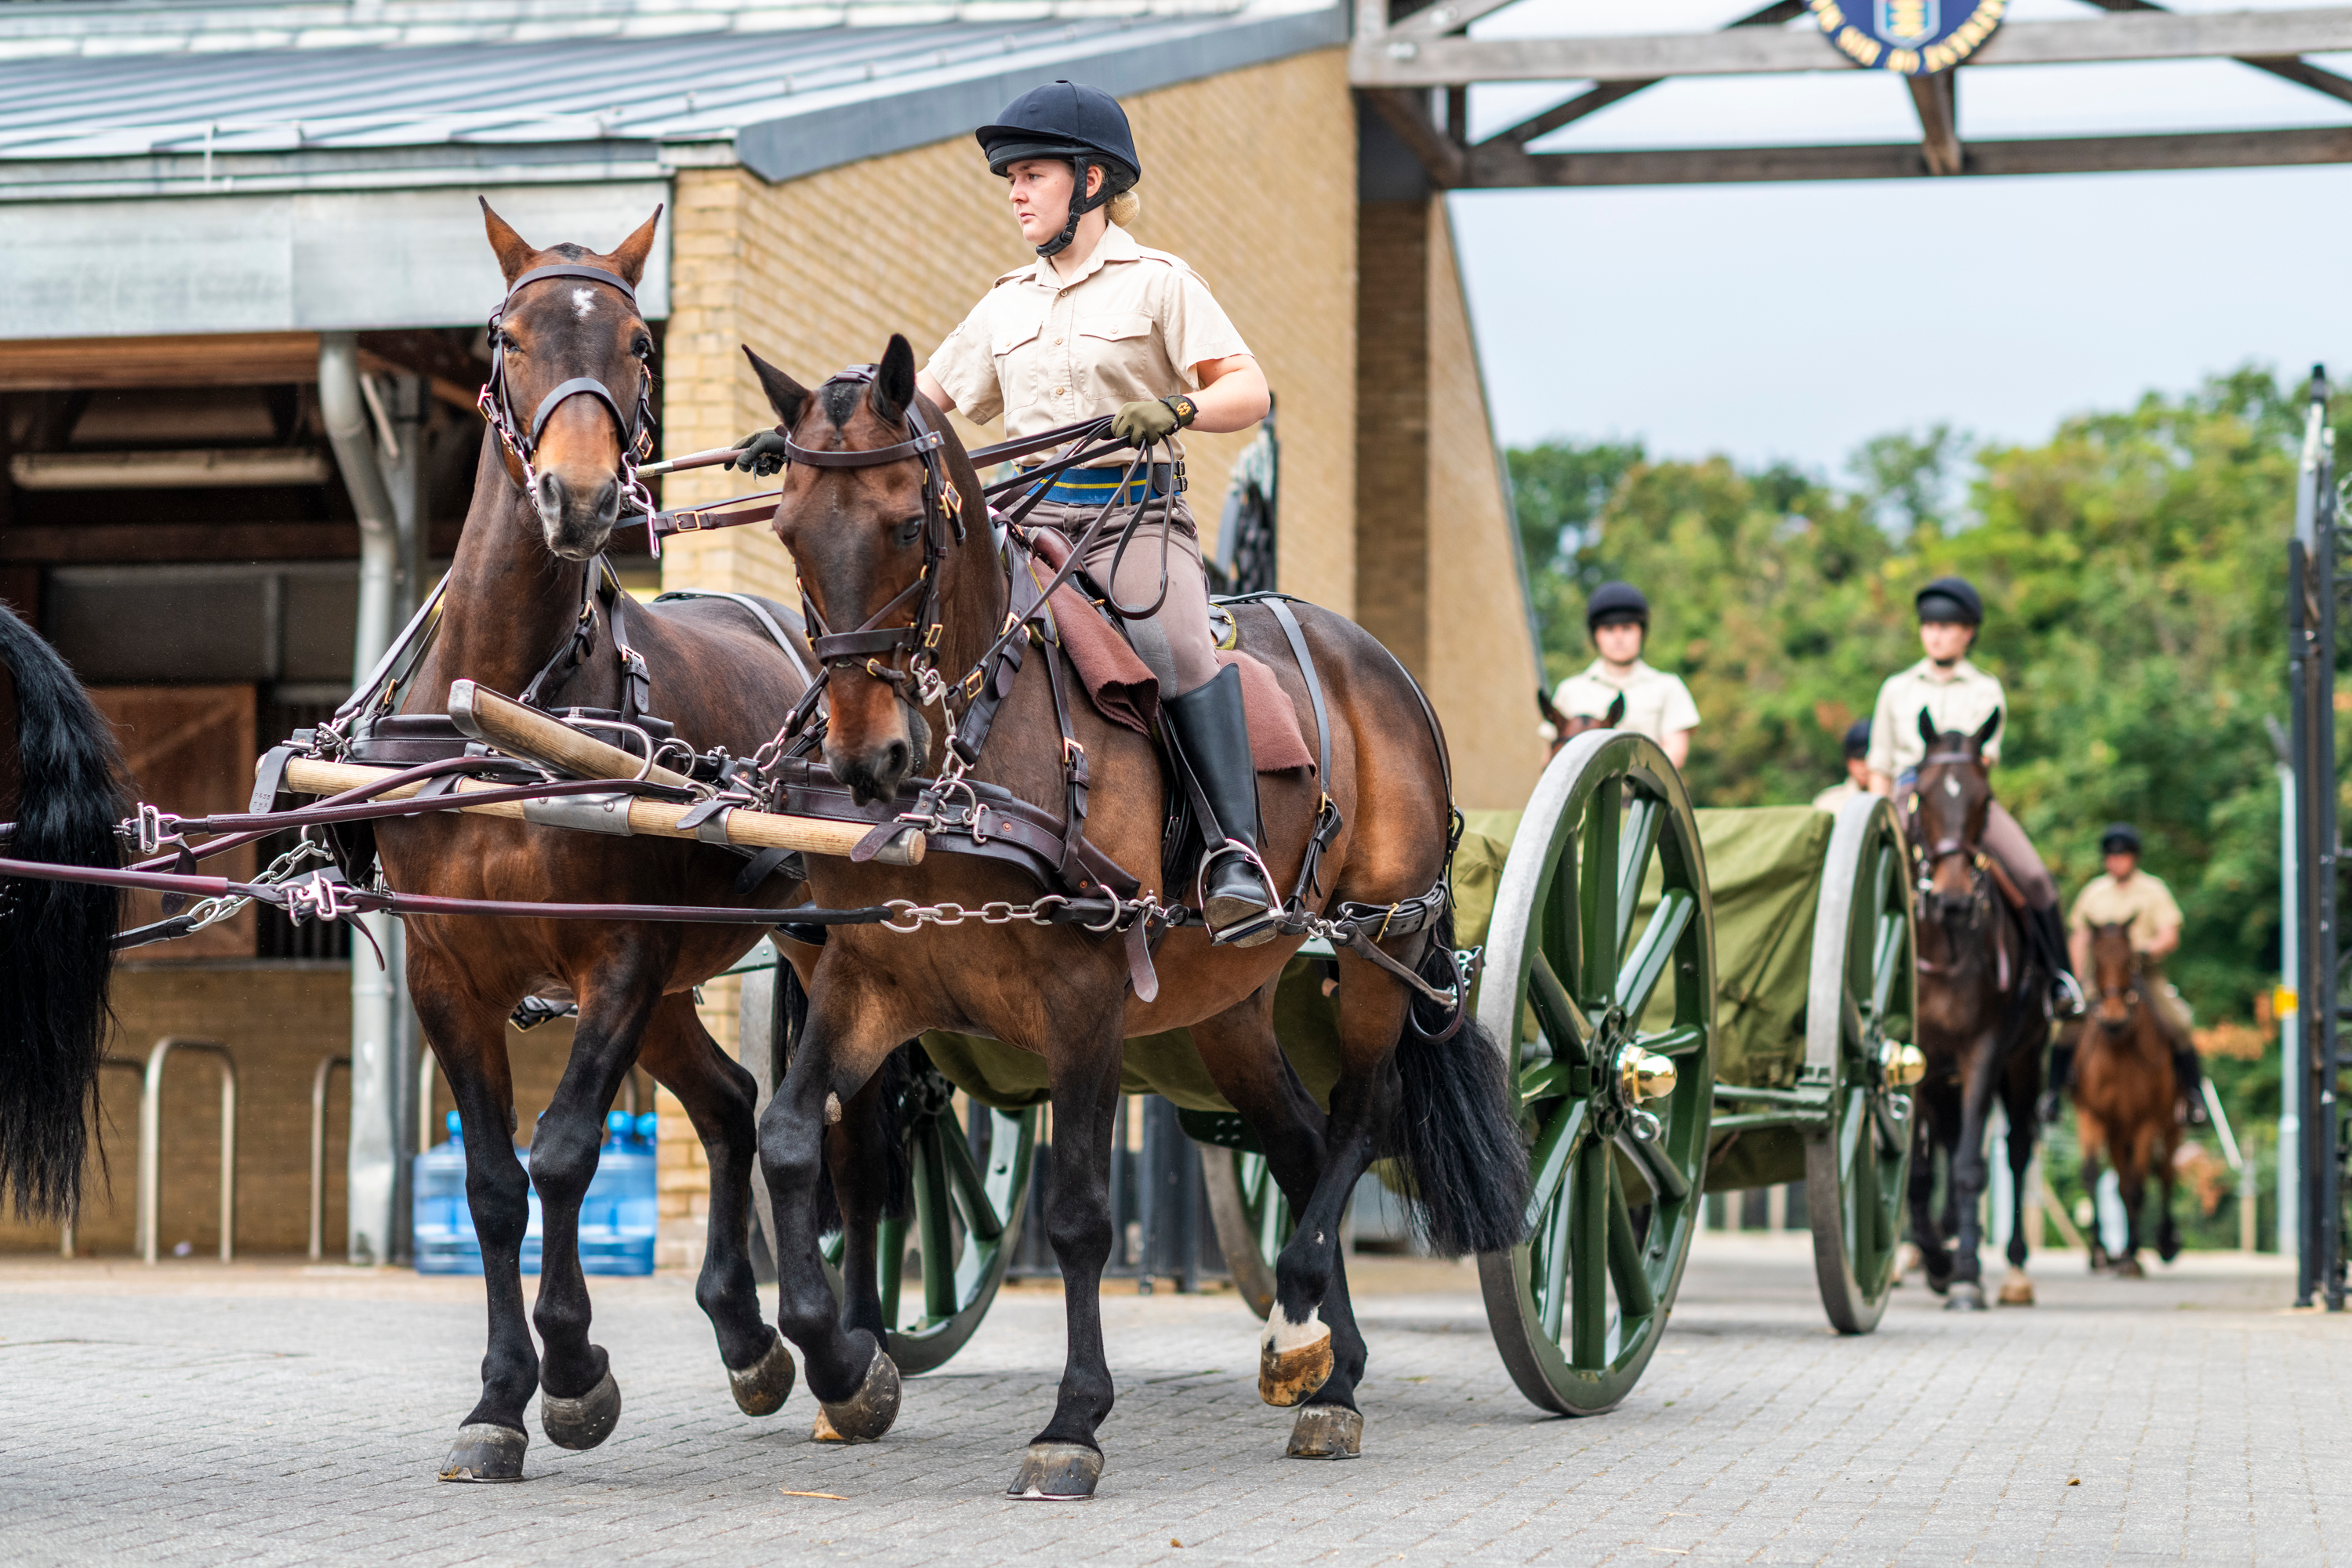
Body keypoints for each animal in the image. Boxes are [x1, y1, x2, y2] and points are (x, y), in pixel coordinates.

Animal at [381, 208, 823, 1486]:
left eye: (638, 343)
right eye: (505, 336)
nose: (578, 496)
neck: (502, 709)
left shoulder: (616, 956)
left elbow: (567, 1150)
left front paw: (573, 1369)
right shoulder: (446, 969)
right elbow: (491, 1183)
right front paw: (497, 1397)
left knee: (806, 1114)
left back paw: (840, 1342)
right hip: (675, 982)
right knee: (731, 1105)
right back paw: (746, 1330)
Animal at [748, 340, 1524, 1495]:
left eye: (905, 525)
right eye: (791, 527)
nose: (863, 756)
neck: (977, 748)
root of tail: (1379, 665)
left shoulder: (1084, 999)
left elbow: (1077, 1212)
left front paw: (1072, 1421)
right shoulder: (871, 981)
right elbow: (796, 1138)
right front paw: (847, 1366)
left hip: (1380, 943)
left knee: (1361, 1116)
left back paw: (1298, 1329)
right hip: (1233, 1002)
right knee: (1300, 1141)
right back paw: (1328, 1370)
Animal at [2079, 921, 2183, 1279]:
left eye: (2129, 961)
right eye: (2096, 960)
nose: (2113, 1018)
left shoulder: (2146, 1123)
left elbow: (2139, 1187)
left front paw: (2132, 1257)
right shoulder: (2094, 1118)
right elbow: (2093, 1176)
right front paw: (2100, 1253)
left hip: (2172, 1126)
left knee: (2165, 1174)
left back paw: (2165, 1243)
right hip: (2117, 1133)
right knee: (2123, 1184)